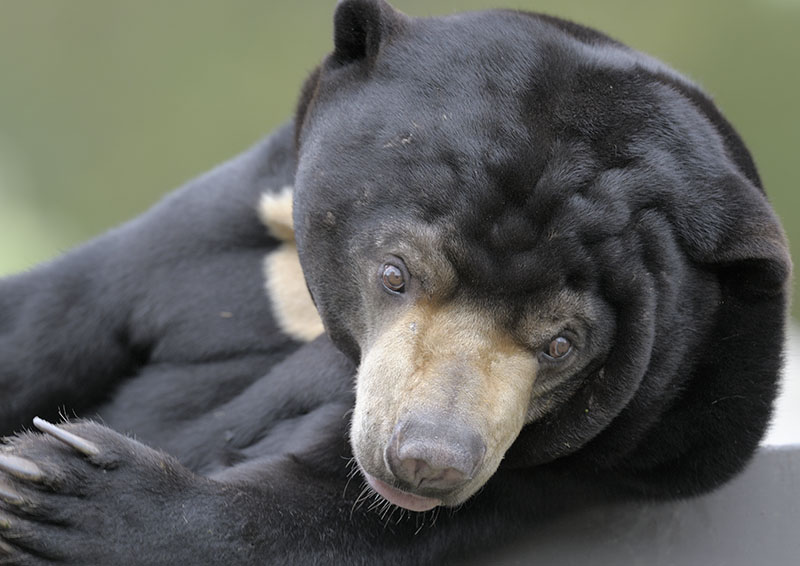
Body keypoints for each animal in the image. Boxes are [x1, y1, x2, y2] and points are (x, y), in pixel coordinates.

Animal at [0, 1, 791, 564]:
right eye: (395, 274)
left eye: (564, 344)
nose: (428, 462)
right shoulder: (230, 224)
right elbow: (55, 316)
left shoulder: (619, 453)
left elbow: (320, 508)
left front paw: (61, 490)